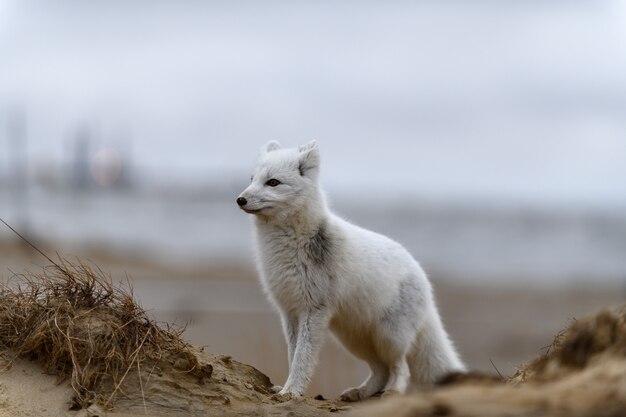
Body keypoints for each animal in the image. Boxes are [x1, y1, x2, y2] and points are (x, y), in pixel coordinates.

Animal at [235, 141, 464, 400]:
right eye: (252, 179)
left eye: (273, 182)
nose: (240, 199)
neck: (283, 248)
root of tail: (422, 276)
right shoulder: (289, 311)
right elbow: (292, 355)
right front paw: (286, 387)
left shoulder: (313, 309)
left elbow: (303, 358)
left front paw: (292, 391)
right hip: (354, 340)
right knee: (380, 370)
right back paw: (360, 392)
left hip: (389, 338)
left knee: (400, 367)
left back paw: (393, 391)